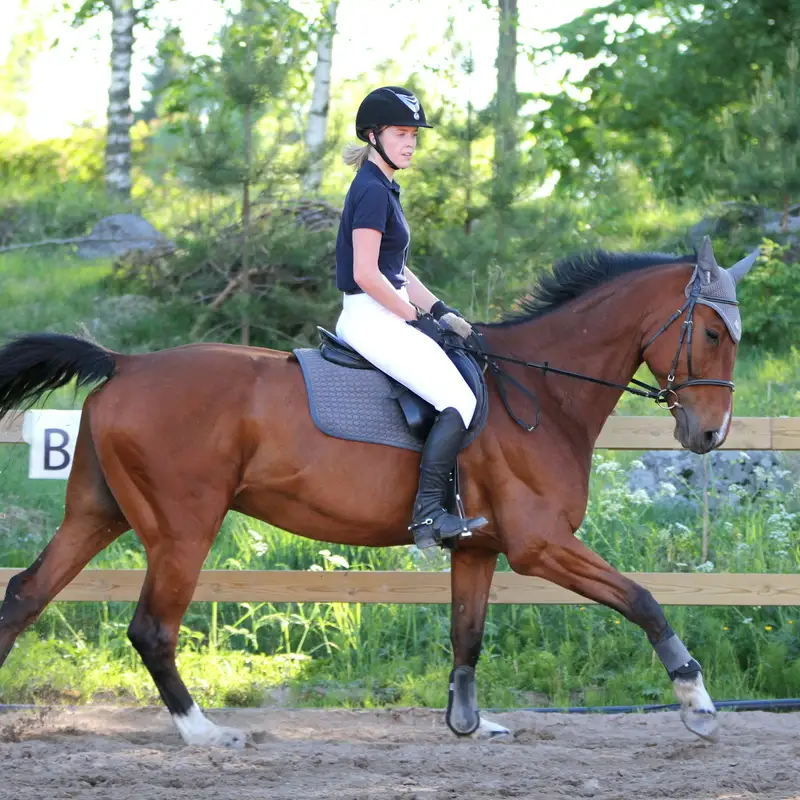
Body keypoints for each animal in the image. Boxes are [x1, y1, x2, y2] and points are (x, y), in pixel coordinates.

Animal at [0, 237, 757, 747]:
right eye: (711, 332)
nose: (709, 433)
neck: (543, 394)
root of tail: (124, 364)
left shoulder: (478, 547)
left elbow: (467, 634)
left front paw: (467, 722)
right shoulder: (539, 544)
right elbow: (643, 599)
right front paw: (696, 703)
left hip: (99, 513)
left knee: (25, 595)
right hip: (182, 528)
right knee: (151, 629)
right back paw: (204, 733)